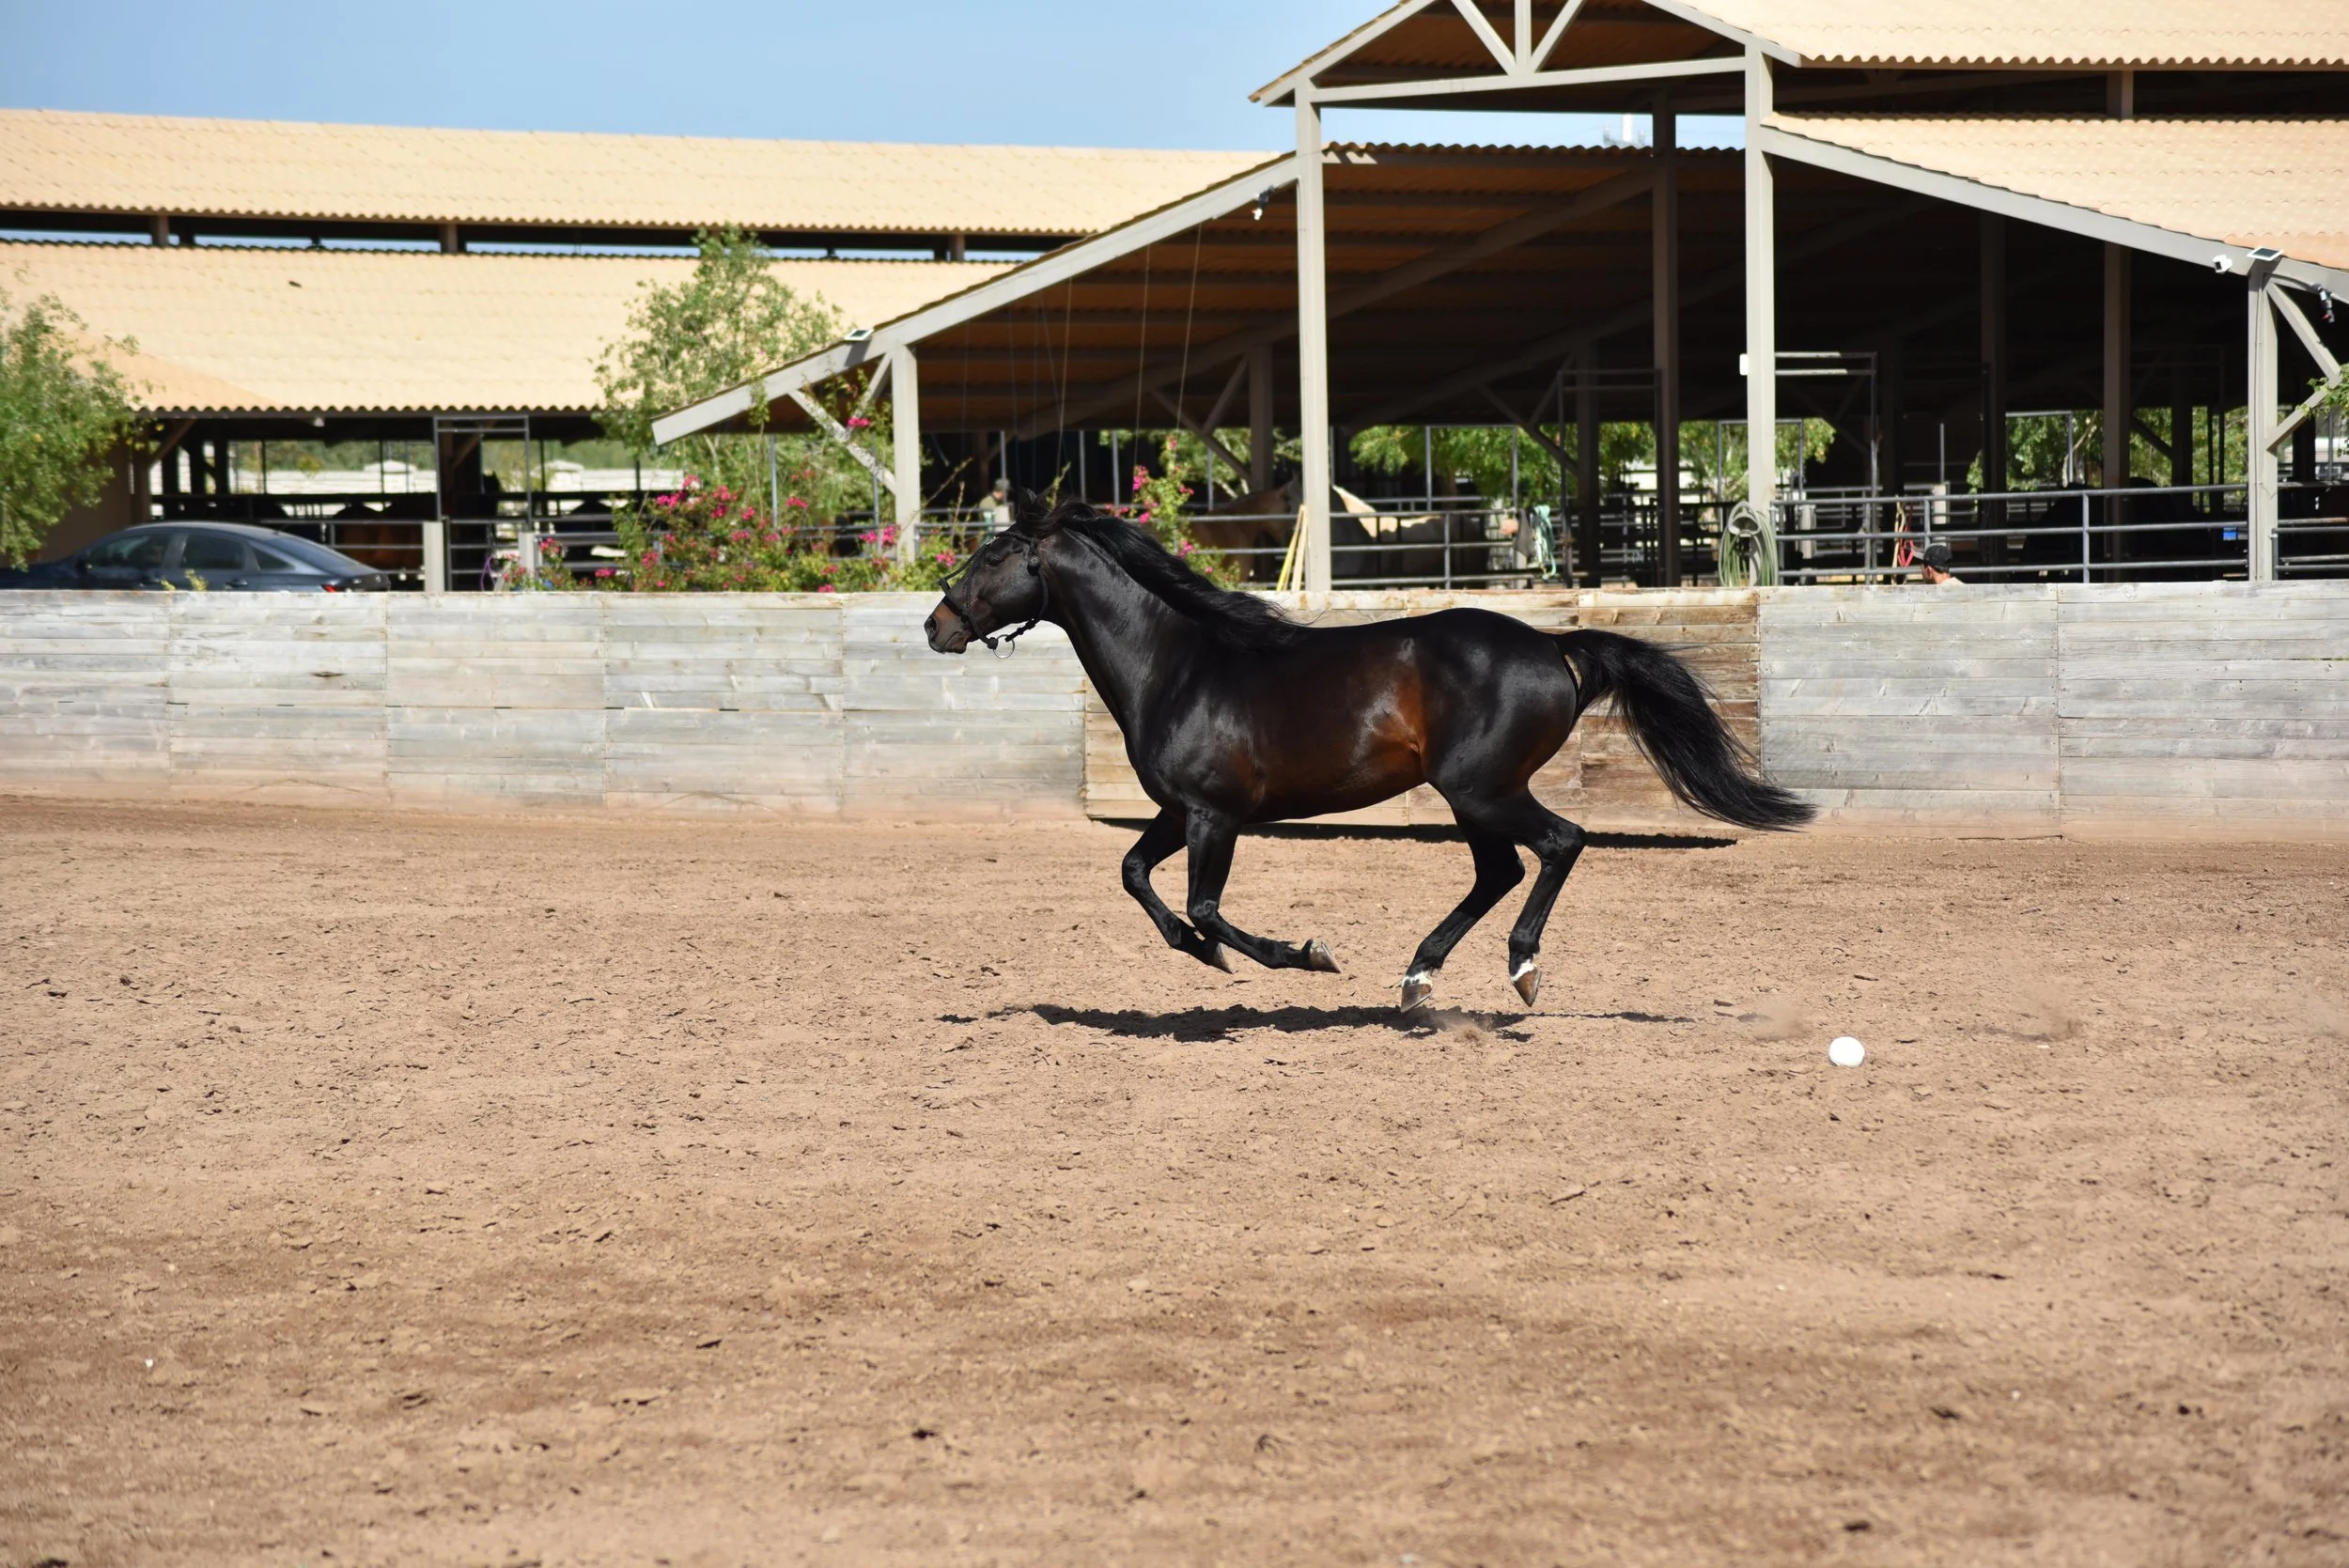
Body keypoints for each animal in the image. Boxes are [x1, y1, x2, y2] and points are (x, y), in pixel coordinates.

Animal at [923, 500, 1811, 1012]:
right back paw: (1418, 980)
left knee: (1560, 843)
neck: (1177, 664)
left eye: (993, 557)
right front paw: (1207, 956)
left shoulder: (1215, 815)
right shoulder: (1176, 811)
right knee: (1500, 871)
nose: (936, 625)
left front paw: (1304, 956)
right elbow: (1136, 875)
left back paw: (1520, 969)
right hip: (1474, 798)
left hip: (1483, 789)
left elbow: (1206, 905)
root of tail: (1554, 646)